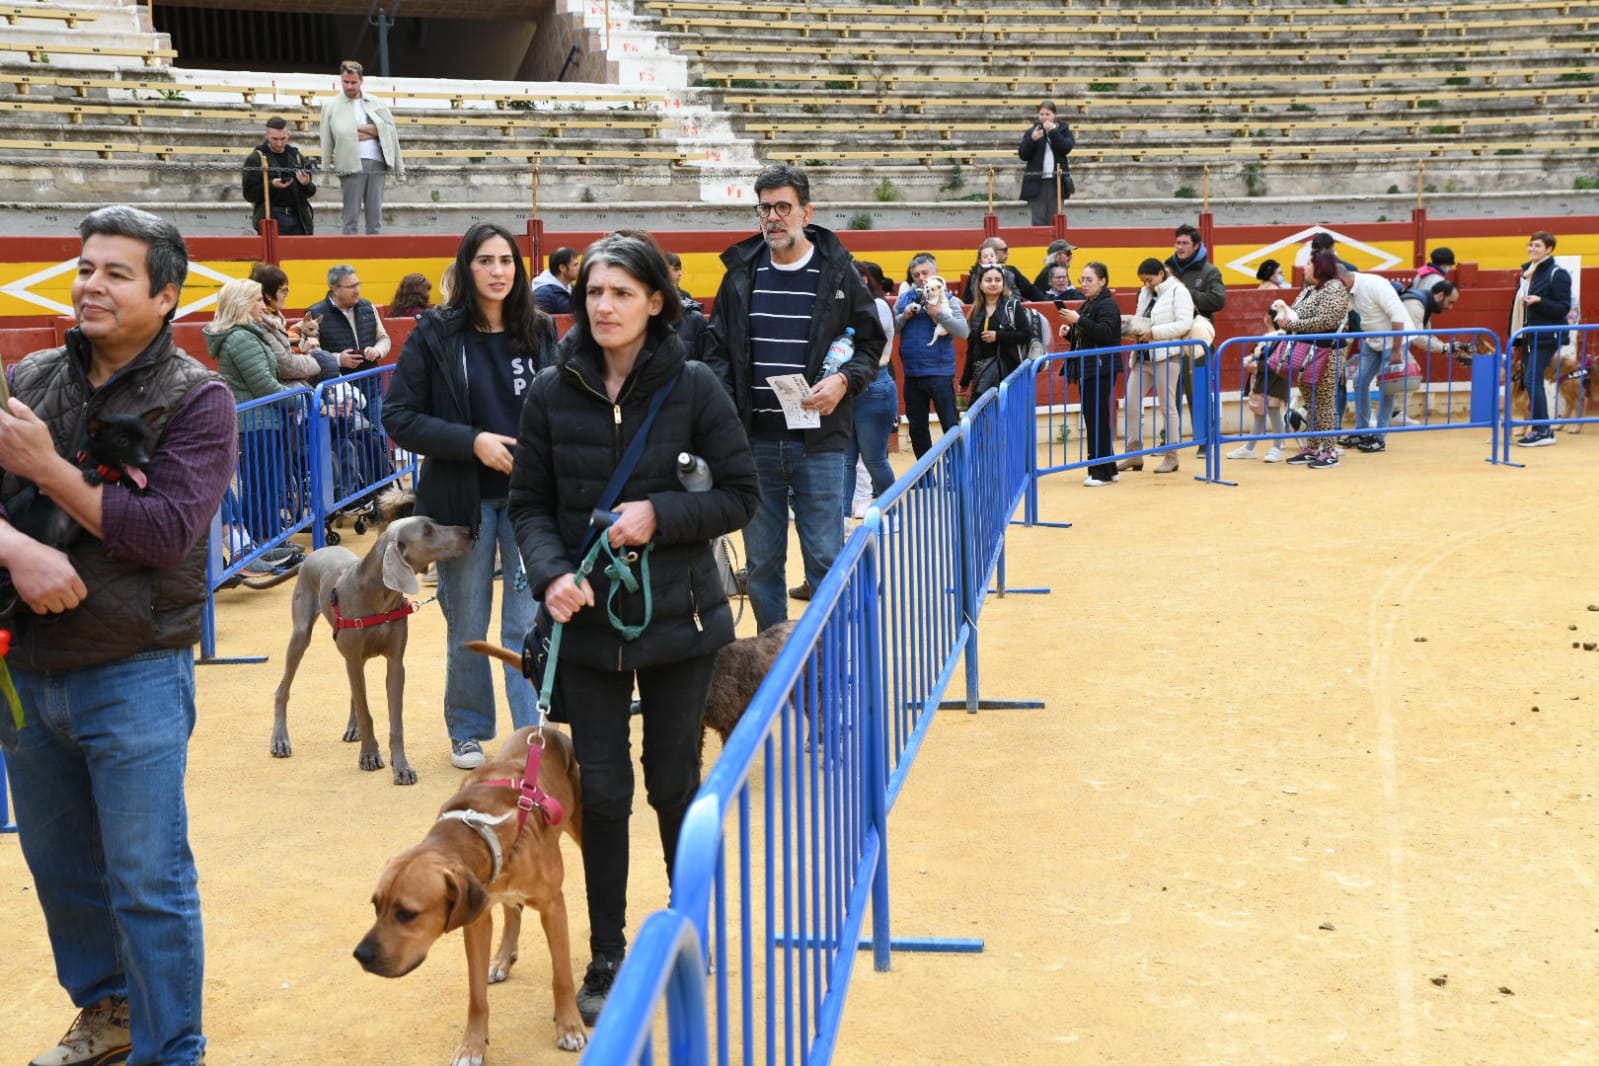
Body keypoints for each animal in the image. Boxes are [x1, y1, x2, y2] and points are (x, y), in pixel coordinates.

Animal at [262, 514, 470, 783]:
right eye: (426, 531)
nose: (468, 531)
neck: (379, 596)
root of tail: (314, 553)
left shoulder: (395, 663)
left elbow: (394, 722)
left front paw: (401, 766)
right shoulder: (354, 658)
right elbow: (366, 713)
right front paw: (369, 755)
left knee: (354, 690)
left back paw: (353, 729)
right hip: (301, 634)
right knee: (284, 689)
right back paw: (280, 740)